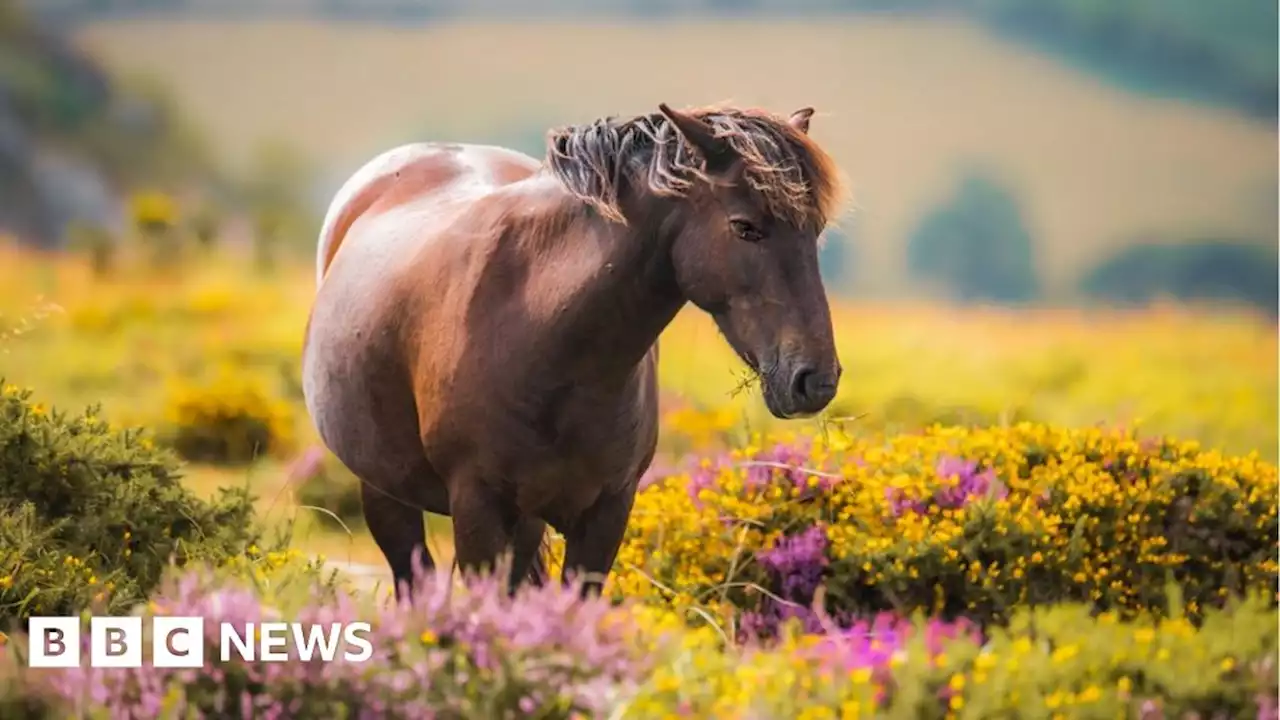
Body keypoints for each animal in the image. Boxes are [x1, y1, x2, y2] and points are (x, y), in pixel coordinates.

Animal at [302, 101, 849, 594]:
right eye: (745, 227)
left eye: (814, 231)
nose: (815, 380)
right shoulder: (477, 508)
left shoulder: (605, 514)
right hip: (386, 495)